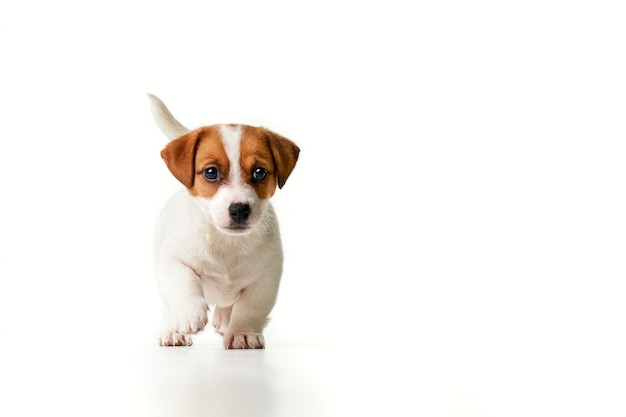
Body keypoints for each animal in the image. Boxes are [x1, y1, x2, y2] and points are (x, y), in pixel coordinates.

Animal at [149, 95, 300, 348]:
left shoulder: (267, 277)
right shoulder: (172, 259)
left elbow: (250, 307)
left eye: (260, 172)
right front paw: (190, 314)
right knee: (169, 306)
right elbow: (185, 281)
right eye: (211, 172)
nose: (239, 209)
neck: (226, 242)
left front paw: (242, 333)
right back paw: (172, 331)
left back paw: (224, 318)